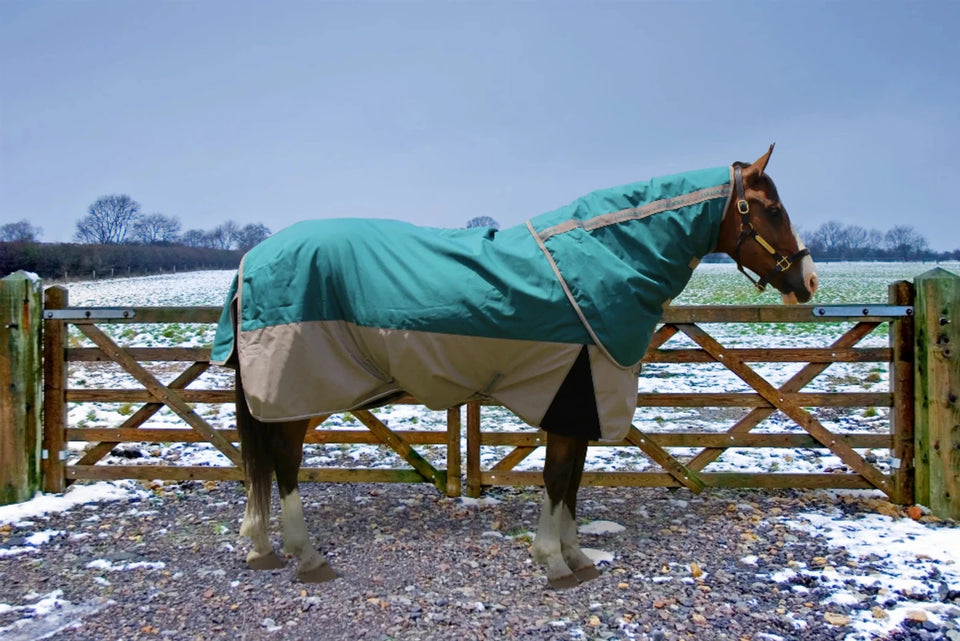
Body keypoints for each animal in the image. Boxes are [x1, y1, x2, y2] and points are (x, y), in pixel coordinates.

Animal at [211, 144, 818, 588]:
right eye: (773, 210)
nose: (807, 282)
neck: (605, 256)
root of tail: (251, 258)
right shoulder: (573, 397)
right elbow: (557, 479)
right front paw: (554, 561)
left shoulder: (581, 407)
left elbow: (573, 482)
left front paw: (577, 555)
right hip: (297, 390)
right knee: (284, 462)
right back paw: (306, 555)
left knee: (265, 461)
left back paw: (261, 547)